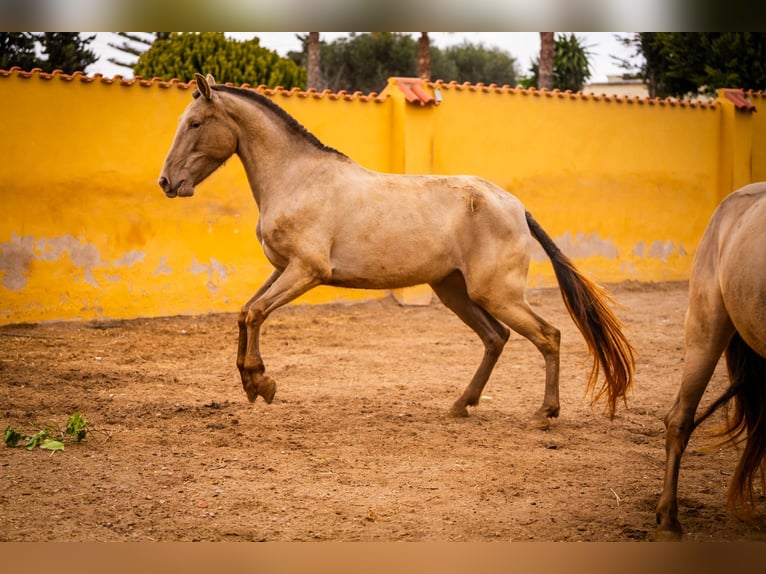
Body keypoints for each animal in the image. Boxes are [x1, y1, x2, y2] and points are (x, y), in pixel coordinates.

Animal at [158, 74, 636, 430]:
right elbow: (245, 312)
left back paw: (544, 413)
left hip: (495, 293)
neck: (297, 179)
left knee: (548, 335)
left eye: (196, 123)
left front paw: (262, 383)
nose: (166, 182)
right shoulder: (282, 269)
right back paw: (461, 404)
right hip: (454, 291)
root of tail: (516, 207)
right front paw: (251, 382)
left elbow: (257, 313)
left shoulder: (307, 271)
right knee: (496, 338)